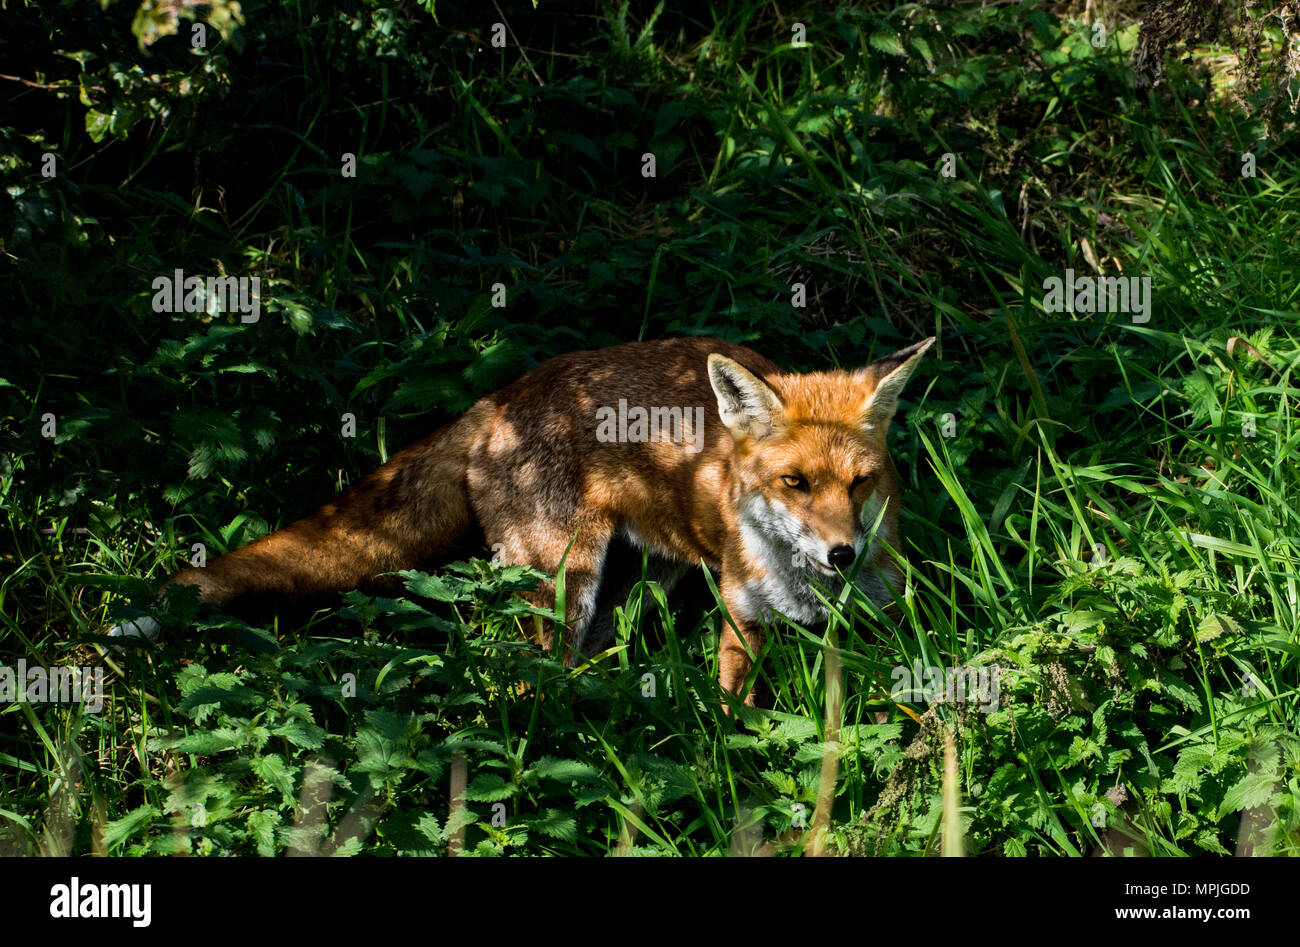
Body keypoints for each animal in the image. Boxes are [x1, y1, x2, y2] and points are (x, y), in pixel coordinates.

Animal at [106, 335, 930, 707]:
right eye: (794, 483)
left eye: (860, 483)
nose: (841, 554)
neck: (809, 596)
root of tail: (499, 399)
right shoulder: (743, 616)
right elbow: (739, 713)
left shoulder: (888, 613)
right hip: (560, 584)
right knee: (527, 683)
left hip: (624, 589)